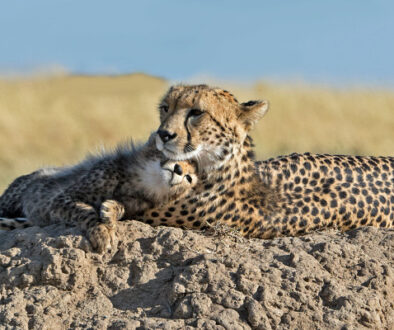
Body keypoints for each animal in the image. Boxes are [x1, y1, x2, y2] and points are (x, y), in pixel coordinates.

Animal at [0, 133, 197, 250]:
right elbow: (85, 210)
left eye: (189, 178)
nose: (179, 170)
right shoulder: (62, 199)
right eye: (175, 155)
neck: (142, 181)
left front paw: (110, 211)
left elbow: (120, 207)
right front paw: (102, 233)